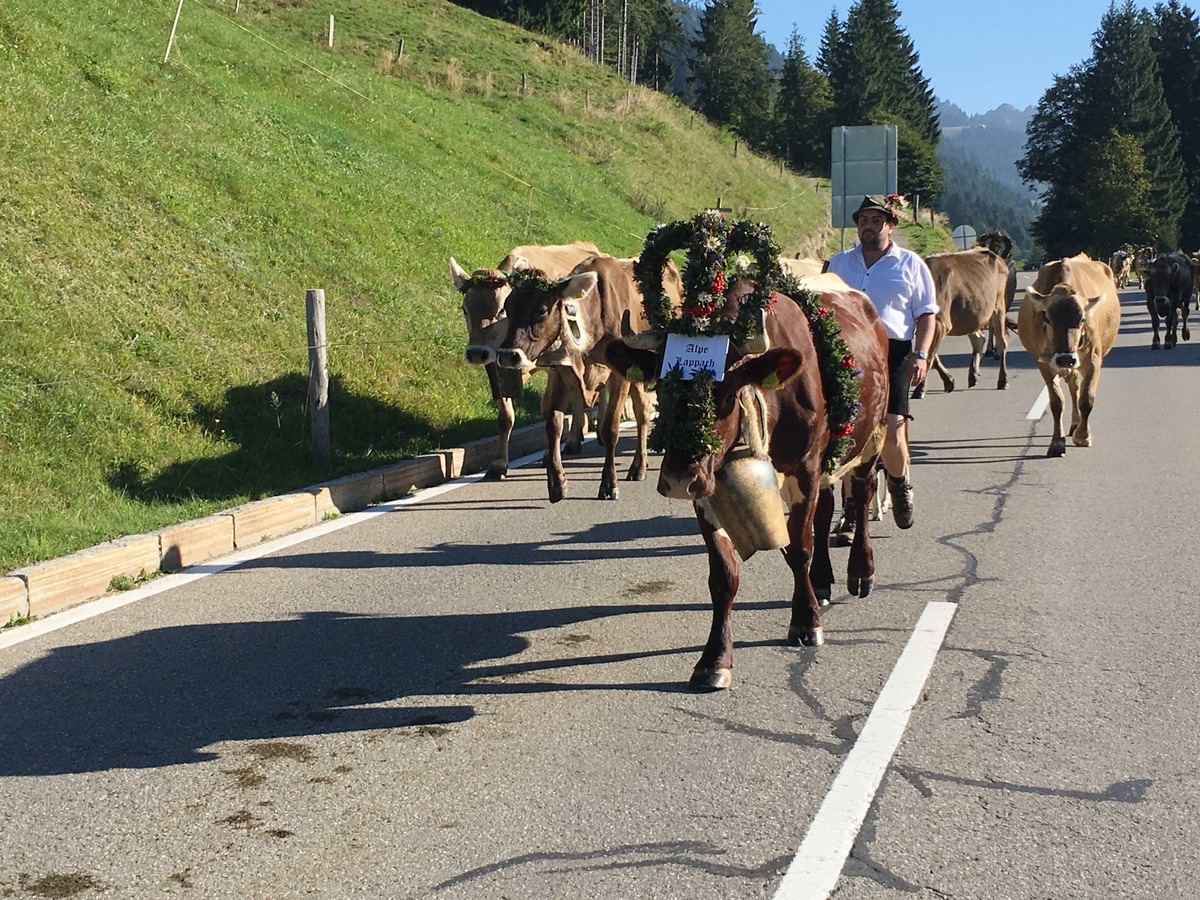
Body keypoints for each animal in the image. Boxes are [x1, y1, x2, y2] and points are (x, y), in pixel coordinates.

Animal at [448, 240, 604, 480]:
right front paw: (498, 464)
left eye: (502, 311)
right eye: (465, 309)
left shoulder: (556, 364)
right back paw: (574, 439)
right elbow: (505, 417)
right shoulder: (496, 366)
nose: (475, 352)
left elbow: (549, 411)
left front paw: (549, 456)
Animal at [492, 256, 652, 504]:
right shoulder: (561, 370)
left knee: (643, 411)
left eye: (542, 310)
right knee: (643, 409)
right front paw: (558, 484)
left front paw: (609, 484)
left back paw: (639, 466)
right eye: (507, 306)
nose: (508, 355)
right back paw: (638, 466)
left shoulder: (619, 374)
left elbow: (611, 428)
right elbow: (553, 425)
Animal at [609, 211, 892, 691]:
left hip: (870, 438)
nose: (678, 479)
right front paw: (714, 659)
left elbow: (798, 549)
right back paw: (824, 582)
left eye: (723, 393)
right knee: (826, 511)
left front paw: (805, 623)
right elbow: (724, 575)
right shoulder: (708, 486)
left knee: (862, 493)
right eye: (662, 387)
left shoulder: (805, 467)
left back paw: (860, 572)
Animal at [916, 248, 1012, 400]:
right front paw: (949, 381)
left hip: (998, 305)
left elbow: (928, 358)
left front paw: (920, 389)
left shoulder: (940, 322)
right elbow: (930, 356)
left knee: (1002, 342)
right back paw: (973, 376)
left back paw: (1003, 381)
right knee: (978, 339)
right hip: (972, 315)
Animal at [1017, 256, 1118, 460]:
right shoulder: (1044, 364)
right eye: (1047, 318)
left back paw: (1077, 425)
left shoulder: (1093, 359)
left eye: (1082, 320)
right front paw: (1057, 442)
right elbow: (1056, 401)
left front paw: (1083, 436)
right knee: (1073, 387)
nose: (1065, 359)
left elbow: (1087, 399)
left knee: (1076, 389)